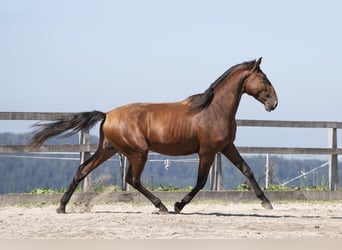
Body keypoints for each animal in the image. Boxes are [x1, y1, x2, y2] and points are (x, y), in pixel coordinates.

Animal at [28, 57, 278, 214]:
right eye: (264, 79)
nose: (274, 103)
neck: (213, 110)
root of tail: (107, 114)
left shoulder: (226, 147)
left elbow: (247, 170)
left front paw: (267, 203)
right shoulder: (207, 152)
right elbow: (200, 181)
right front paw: (178, 205)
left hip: (110, 149)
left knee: (83, 170)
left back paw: (61, 207)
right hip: (138, 152)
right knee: (133, 179)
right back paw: (162, 207)